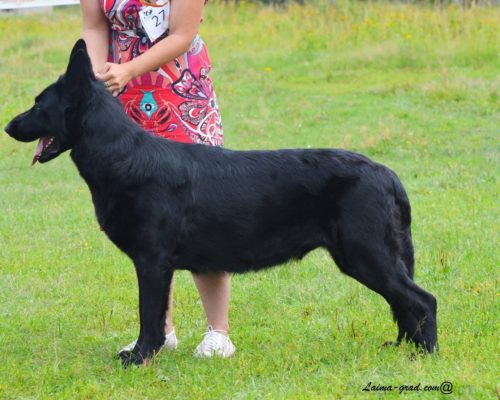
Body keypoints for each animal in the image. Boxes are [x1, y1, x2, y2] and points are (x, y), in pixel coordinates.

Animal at [5, 40, 437, 366]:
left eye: (39, 104)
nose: (8, 126)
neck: (123, 158)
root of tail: (387, 174)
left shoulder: (152, 261)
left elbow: (149, 316)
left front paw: (140, 358)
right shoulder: (156, 264)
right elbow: (155, 316)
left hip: (365, 254)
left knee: (422, 300)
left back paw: (426, 357)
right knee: (405, 303)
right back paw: (407, 350)